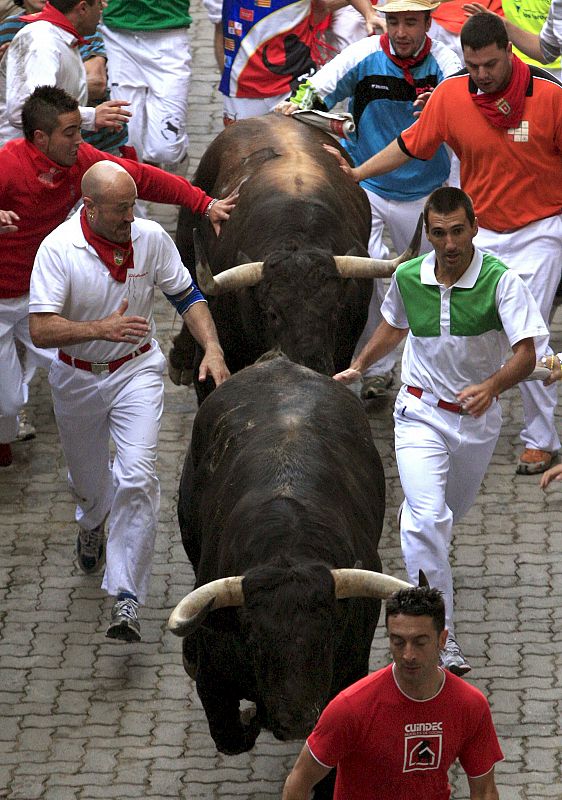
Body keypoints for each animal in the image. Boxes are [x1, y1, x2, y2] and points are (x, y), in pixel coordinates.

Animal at [166, 360, 406, 764]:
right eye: (255, 639)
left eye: (327, 633)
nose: (298, 720)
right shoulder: (214, 680)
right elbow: (230, 735)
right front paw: (252, 716)